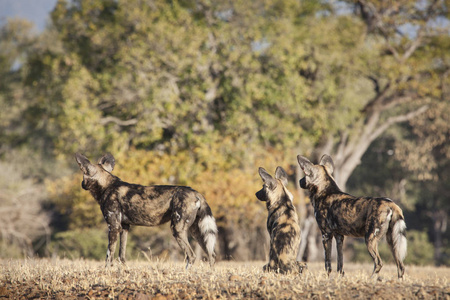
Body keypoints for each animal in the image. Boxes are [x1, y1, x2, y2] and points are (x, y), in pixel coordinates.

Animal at [74, 152, 218, 268]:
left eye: (83, 175)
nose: (81, 184)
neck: (106, 185)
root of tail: (196, 193)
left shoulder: (113, 227)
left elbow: (109, 256)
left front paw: (106, 272)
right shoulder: (124, 227)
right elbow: (122, 256)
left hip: (178, 229)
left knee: (191, 256)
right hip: (196, 231)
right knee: (211, 255)